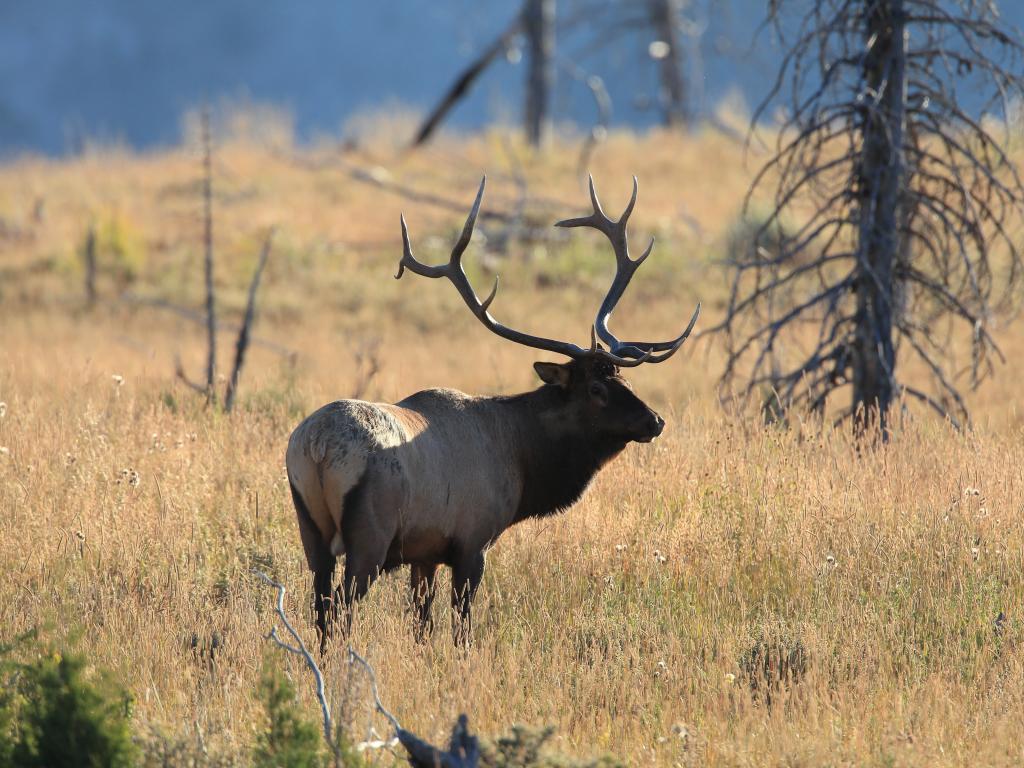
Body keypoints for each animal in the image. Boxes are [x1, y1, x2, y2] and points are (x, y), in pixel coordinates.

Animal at [288, 176, 704, 651]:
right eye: (596, 388)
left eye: (622, 377)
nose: (655, 421)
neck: (522, 461)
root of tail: (316, 448)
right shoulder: (472, 542)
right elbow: (461, 629)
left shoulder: (425, 553)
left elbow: (422, 626)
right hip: (369, 537)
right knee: (340, 608)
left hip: (311, 530)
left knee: (320, 605)